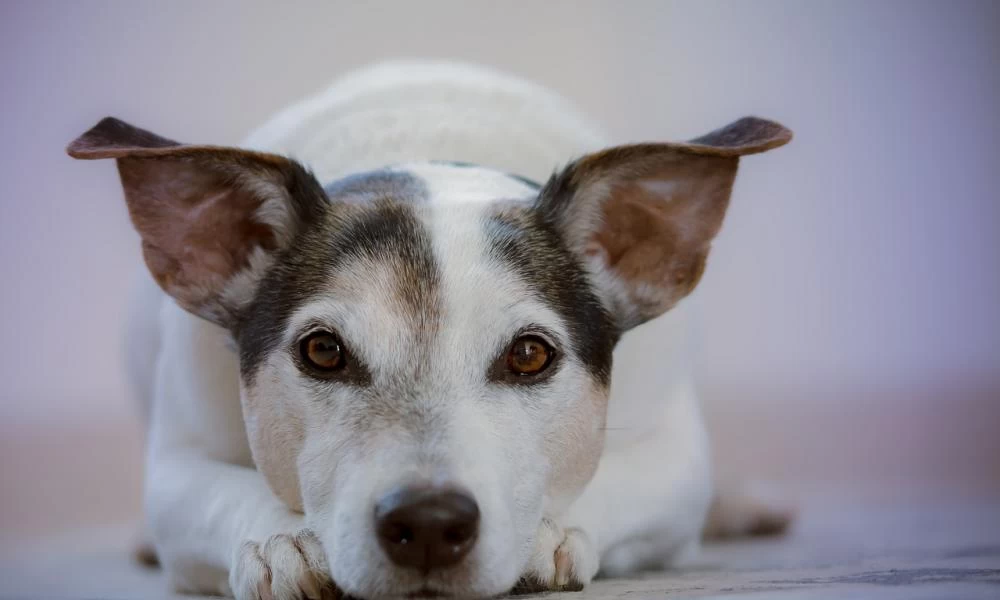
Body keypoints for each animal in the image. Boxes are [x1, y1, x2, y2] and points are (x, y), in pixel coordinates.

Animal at [66, 62, 792, 600]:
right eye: (322, 350)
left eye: (530, 355)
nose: (429, 522)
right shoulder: (177, 464)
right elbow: (220, 492)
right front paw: (283, 540)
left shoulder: (675, 458)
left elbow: (617, 480)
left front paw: (546, 533)